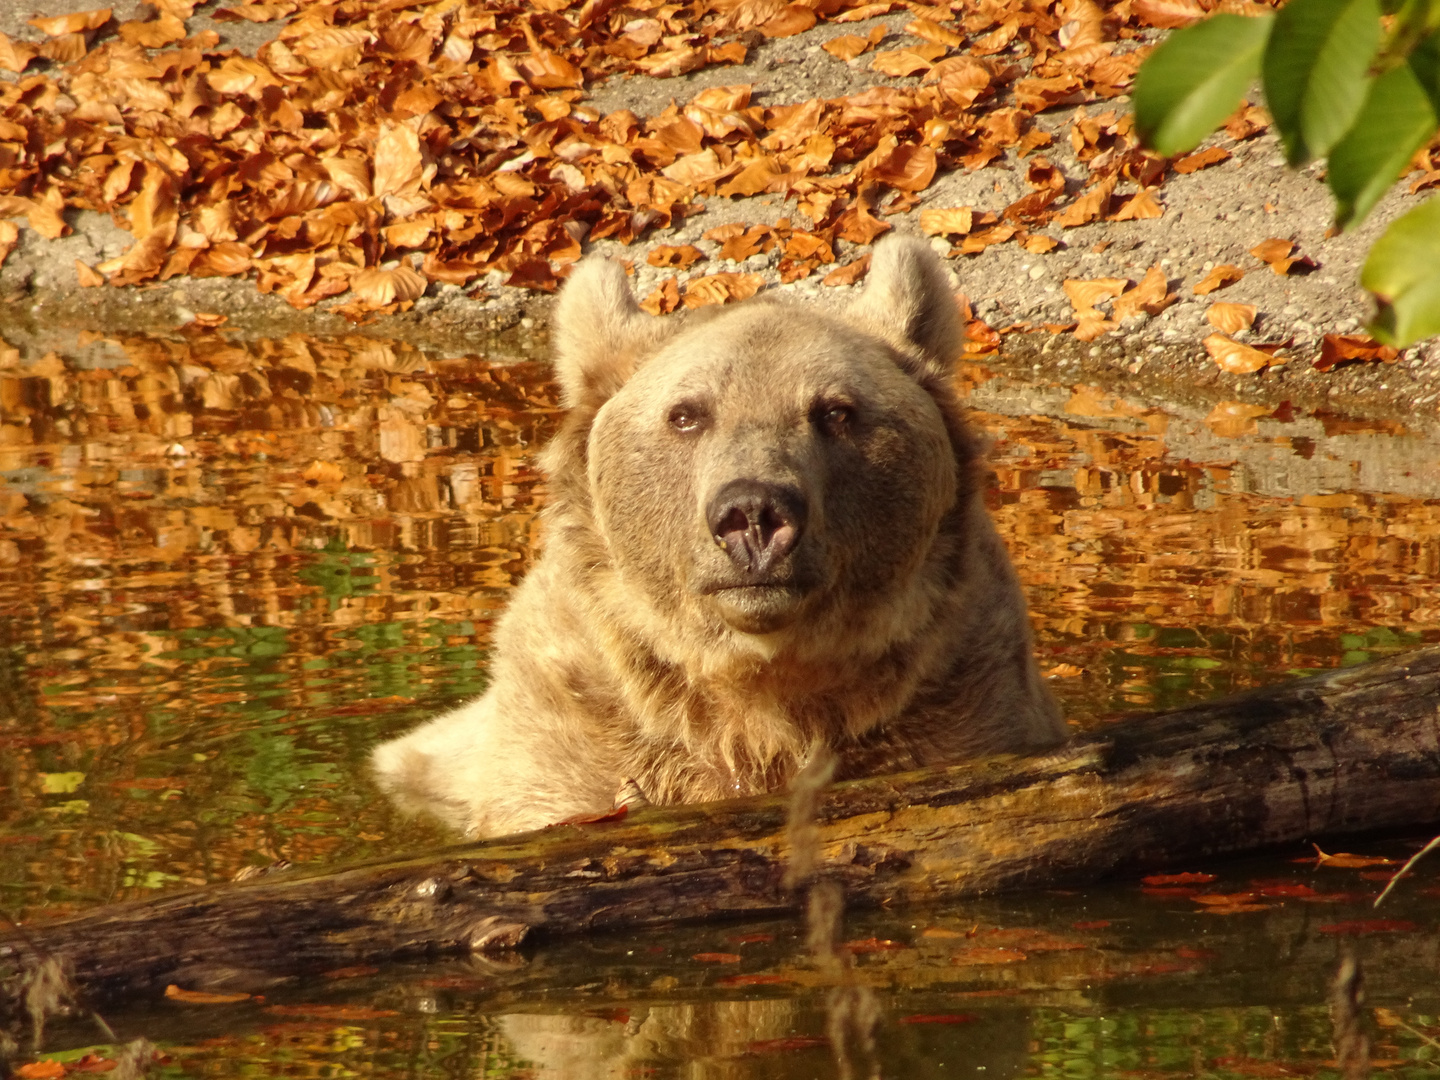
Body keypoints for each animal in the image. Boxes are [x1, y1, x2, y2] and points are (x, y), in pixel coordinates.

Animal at [371, 236, 1071, 840]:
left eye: (836, 412)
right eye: (686, 414)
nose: (754, 514)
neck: (758, 697)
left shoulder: (961, 696)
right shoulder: (578, 725)